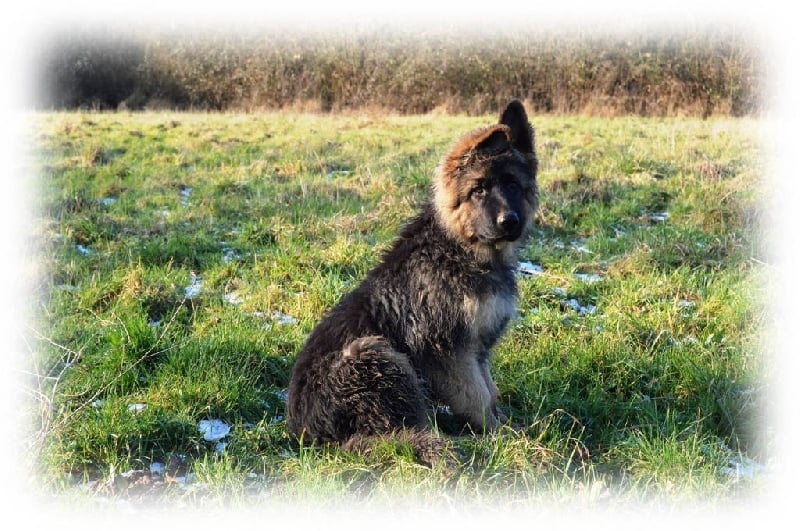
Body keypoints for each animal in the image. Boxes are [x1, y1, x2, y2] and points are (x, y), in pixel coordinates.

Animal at [284, 101, 540, 466]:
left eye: (514, 185)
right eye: (478, 190)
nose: (510, 222)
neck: (461, 248)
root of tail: (309, 438)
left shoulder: (479, 350)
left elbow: (489, 392)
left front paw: (505, 426)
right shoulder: (448, 352)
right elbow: (477, 398)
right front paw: (499, 437)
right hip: (376, 355)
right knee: (394, 431)